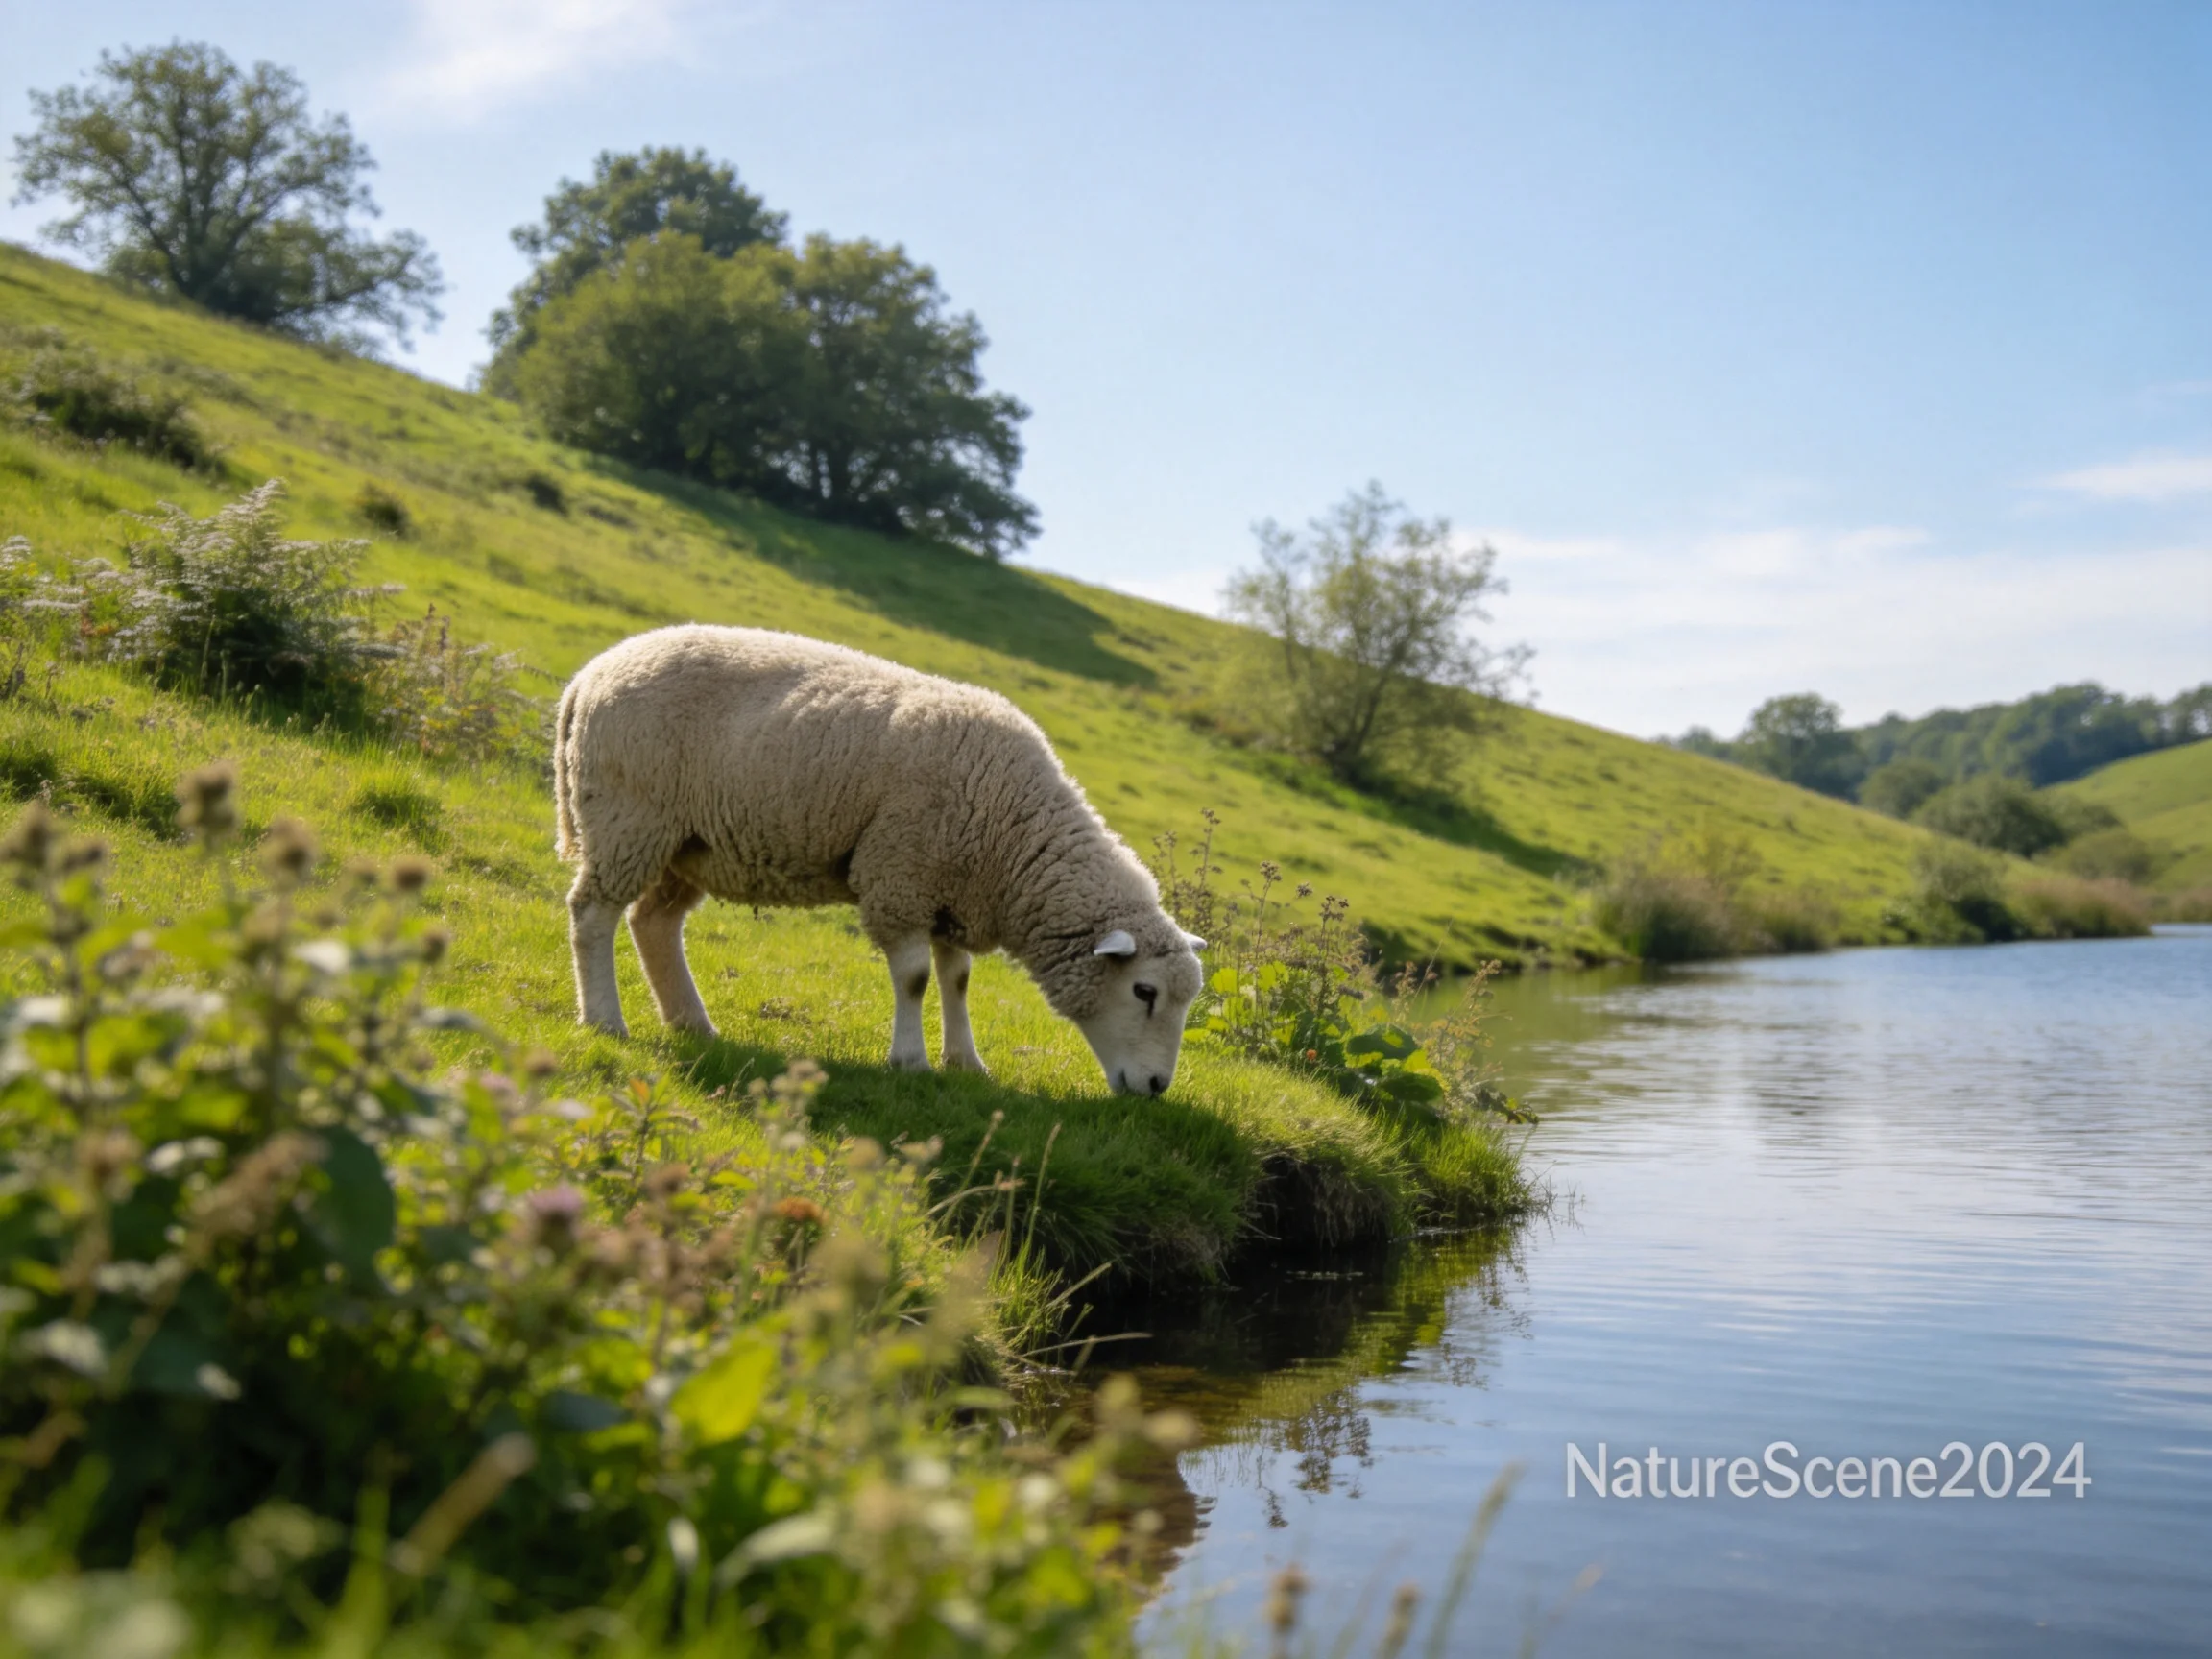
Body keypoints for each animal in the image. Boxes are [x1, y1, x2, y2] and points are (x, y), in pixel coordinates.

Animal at [554, 625, 1206, 1095]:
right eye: (1144, 991)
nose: (1156, 1087)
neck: (1015, 833)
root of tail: (589, 675)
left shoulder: (951, 890)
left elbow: (957, 979)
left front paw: (966, 1063)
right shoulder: (903, 876)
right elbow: (915, 978)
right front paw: (911, 1061)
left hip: (687, 844)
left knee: (653, 923)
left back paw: (692, 1023)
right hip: (629, 817)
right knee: (592, 914)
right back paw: (605, 1019)